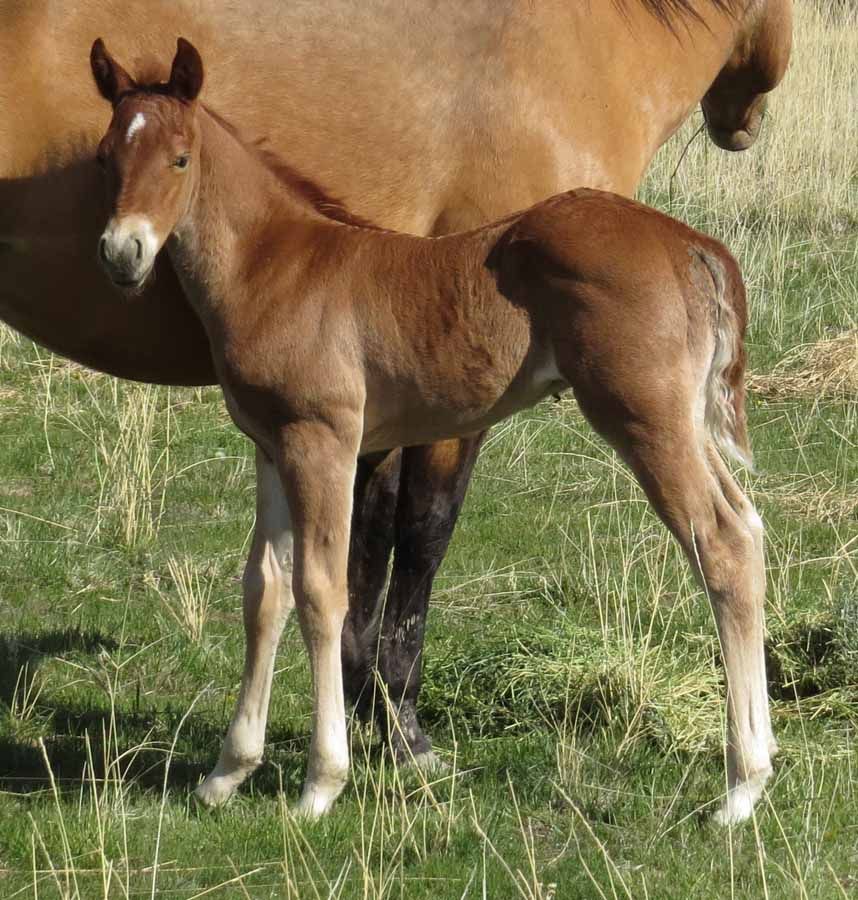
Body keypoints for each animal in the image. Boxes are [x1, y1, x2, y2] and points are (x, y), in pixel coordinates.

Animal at [0, 0, 793, 775]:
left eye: (179, 158)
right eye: (103, 158)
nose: (122, 254)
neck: (280, 261)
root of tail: (690, 245)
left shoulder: (325, 436)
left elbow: (332, 583)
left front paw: (332, 772)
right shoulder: (273, 442)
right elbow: (268, 587)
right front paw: (232, 770)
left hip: (644, 416)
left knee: (722, 541)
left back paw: (743, 782)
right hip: (672, 419)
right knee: (745, 529)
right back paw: (757, 757)